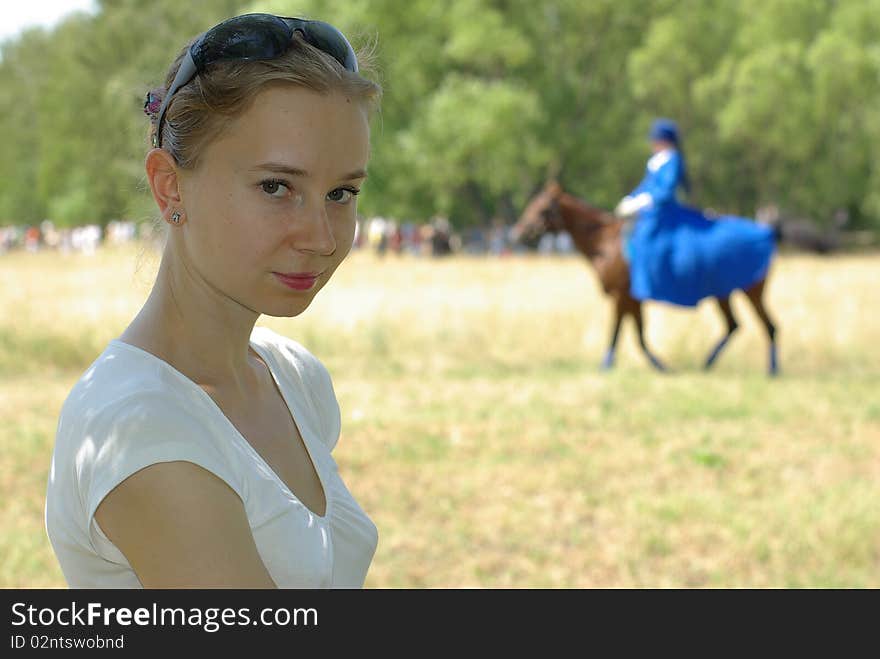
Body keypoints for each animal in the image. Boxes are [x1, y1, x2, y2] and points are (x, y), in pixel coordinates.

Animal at [512, 180, 780, 374]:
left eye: (543, 208)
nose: (517, 233)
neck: (605, 244)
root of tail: (766, 233)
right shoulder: (632, 299)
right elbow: (638, 334)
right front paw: (659, 365)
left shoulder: (622, 295)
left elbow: (621, 330)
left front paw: (610, 364)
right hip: (724, 293)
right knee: (734, 325)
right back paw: (708, 364)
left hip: (751, 292)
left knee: (768, 326)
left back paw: (771, 370)